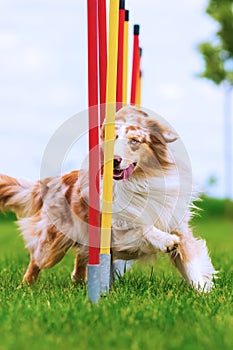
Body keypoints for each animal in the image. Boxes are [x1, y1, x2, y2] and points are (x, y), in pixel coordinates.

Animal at [0, 106, 217, 290]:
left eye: (134, 141)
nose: (115, 160)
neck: (139, 183)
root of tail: (55, 180)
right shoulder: (115, 230)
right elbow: (141, 227)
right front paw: (165, 240)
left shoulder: (178, 227)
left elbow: (191, 265)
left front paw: (202, 293)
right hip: (53, 244)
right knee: (37, 259)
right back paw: (27, 285)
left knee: (81, 256)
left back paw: (79, 281)